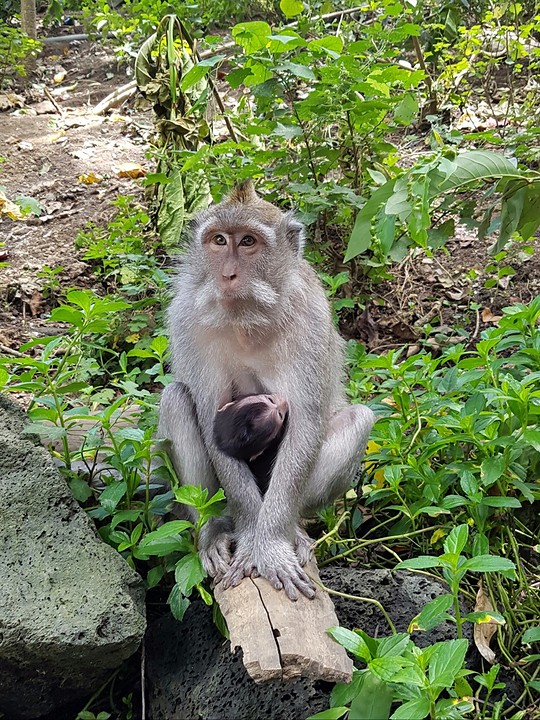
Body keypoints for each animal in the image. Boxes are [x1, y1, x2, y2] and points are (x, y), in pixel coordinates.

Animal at [158, 181, 375, 601]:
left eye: (248, 242)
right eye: (219, 240)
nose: (227, 274)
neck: (247, 319)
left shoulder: (311, 317)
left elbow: (306, 423)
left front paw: (271, 544)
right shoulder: (187, 319)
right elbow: (212, 418)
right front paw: (251, 537)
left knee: (359, 418)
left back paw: (294, 531)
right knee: (176, 399)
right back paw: (213, 531)